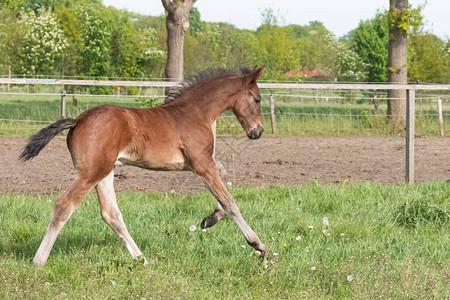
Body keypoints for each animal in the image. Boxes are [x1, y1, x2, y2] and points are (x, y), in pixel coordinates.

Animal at [19, 65, 268, 264]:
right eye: (257, 99)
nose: (258, 131)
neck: (195, 113)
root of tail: (78, 119)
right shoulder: (201, 163)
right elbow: (229, 201)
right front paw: (259, 246)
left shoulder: (199, 163)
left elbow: (224, 177)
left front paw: (210, 219)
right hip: (91, 172)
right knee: (64, 206)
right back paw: (38, 261)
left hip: (105, 172)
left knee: (110, 213)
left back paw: (141, 259)